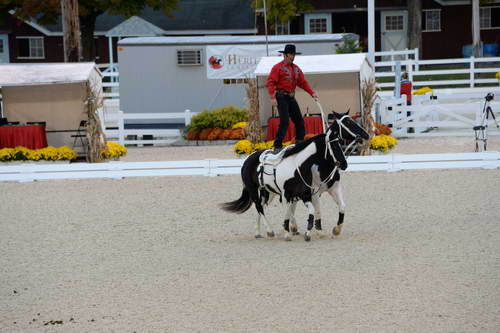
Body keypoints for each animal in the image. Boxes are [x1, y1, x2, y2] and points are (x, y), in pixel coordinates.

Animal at [221, 111, 370, 241]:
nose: (366, 135)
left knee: (262, 206)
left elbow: (338, 207)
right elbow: (310, 211)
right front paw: (311, 231)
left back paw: (259, 232)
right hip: (254, 190)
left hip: (268, 192)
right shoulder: (307, 194)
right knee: (259, 207)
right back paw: (270, 231)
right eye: (348, 122)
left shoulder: (326, 190)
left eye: (340, 145)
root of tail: (249, 158)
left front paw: (334, 230)